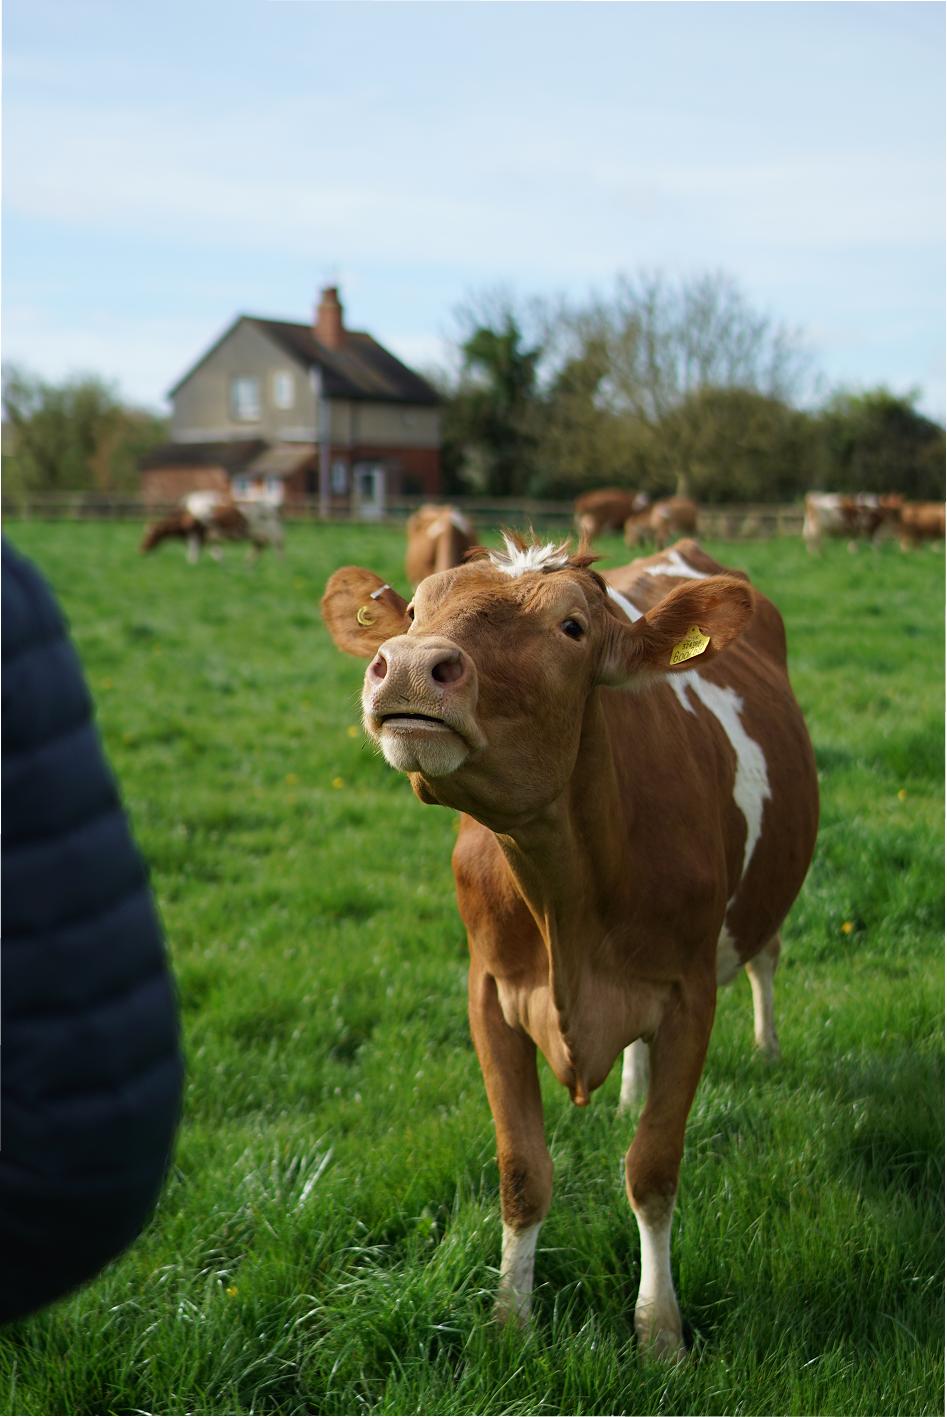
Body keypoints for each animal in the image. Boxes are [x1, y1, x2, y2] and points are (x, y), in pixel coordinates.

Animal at [140, 491, 284, 565]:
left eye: (151, 534)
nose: (141, 549)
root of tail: (271, 504)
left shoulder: (195, 534)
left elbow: (193, 554)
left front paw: (192, 565)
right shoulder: (209, 538)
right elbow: (218, 554)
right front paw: (223, 565)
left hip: (273, 531)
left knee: (278, 547)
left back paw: (279, 563)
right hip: (256, 533)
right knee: (259, 546)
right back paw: (248, 562)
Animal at [321, 534, 819, 1360]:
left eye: (572, 628)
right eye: (416, 610)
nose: (412, 663)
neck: (566, 892)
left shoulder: (689, 996)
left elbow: (652, 1170)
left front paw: (659, 1330)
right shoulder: (488, 994)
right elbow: (522, 1172)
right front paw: (508, 1320)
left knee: (766, 958)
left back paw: (770, 1046)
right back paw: (626, 1093)